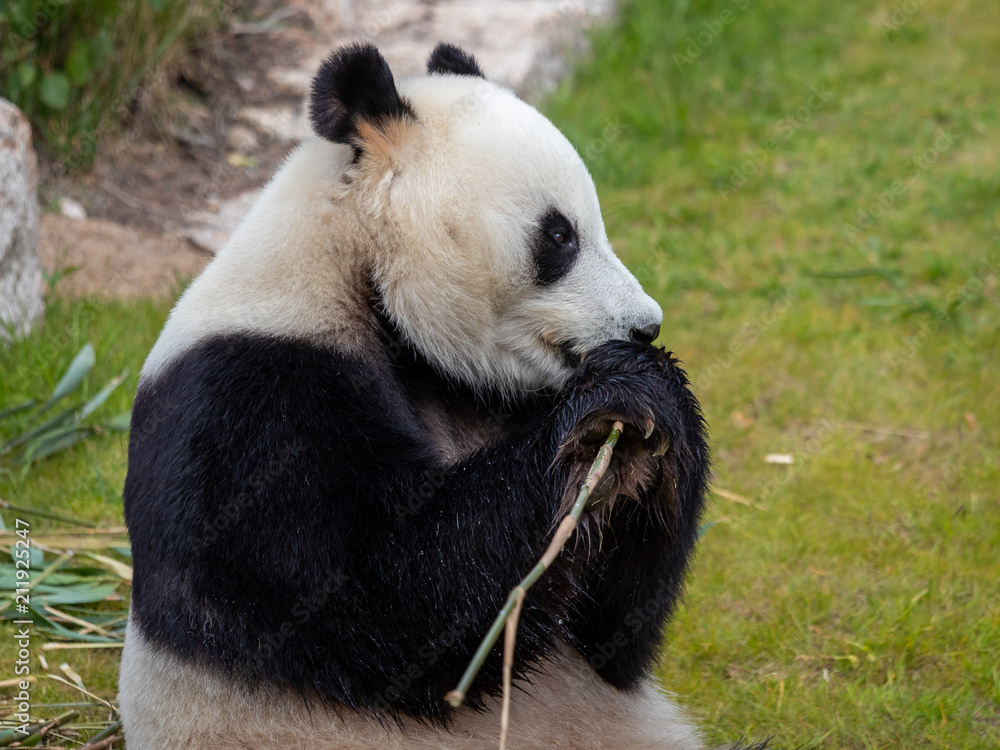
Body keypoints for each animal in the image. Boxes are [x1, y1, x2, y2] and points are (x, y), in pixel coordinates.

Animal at [119, 42, 767, 750]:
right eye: (559, 236)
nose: (643, 325)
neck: (355, 269)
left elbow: (608, 638)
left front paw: (653, 422)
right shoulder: (248, 407)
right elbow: (388, 609)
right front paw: (614, 405)